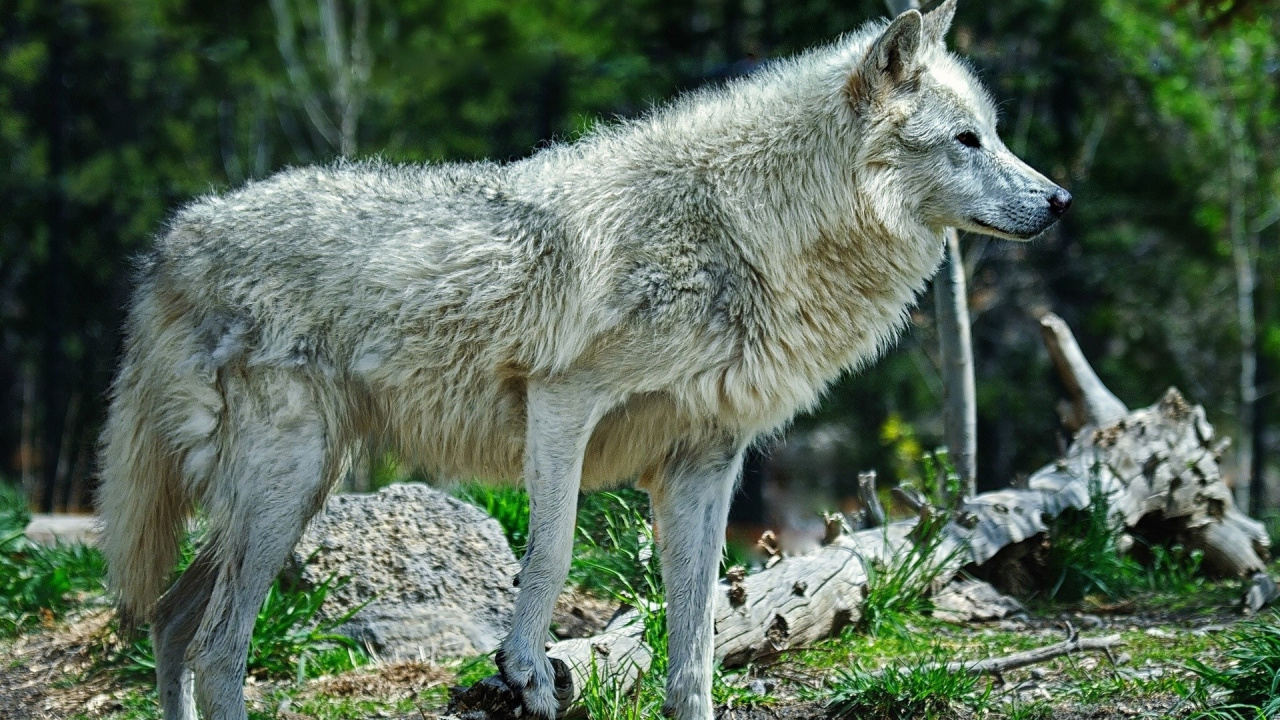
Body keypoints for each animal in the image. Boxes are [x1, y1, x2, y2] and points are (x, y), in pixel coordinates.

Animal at [97, 2, 1068, 718]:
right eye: (968, 141)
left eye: (994, 133)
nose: (1060, 200)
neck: (743, 228)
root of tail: (174, 240)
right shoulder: (563, 401)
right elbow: (554, 550)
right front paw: (525, 668)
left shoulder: (705, 465)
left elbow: (698, 639)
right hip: (286, 487)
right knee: (218, 649)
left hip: (293, 494)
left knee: (173, 625)